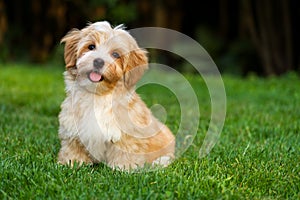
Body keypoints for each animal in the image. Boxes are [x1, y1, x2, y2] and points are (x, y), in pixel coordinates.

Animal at [57, 21, 175, 170]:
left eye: (115, 54)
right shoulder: (72, 127)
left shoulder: (127, 134)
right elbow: (73, 146)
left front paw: (123, 167)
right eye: (91, 47)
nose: (98, 61)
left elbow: (125, 150)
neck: (98, 95)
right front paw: (72, 162)